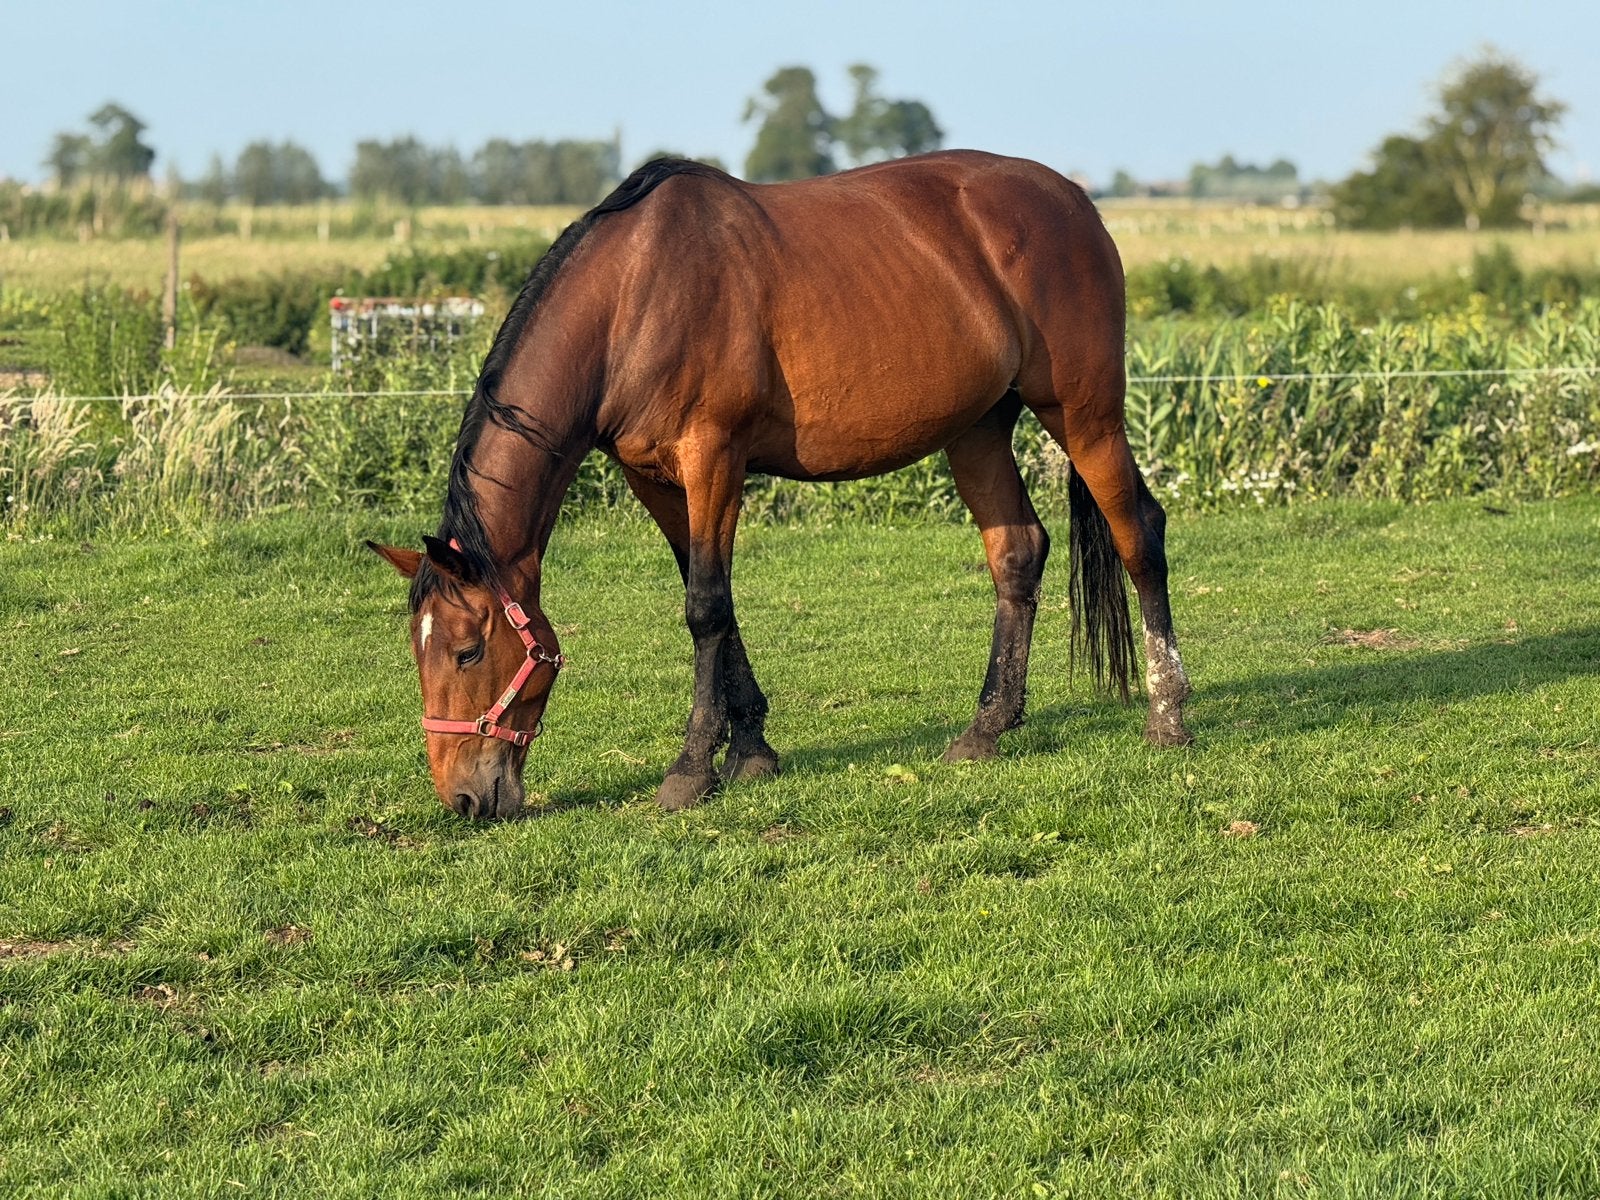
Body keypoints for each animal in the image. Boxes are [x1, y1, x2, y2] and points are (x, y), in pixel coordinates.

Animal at [369, 152, 1192, 820]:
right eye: (416, 652)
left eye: (468, 653)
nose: (463, 798)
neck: (633, 297)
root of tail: (1075, 199)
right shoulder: (654, 480)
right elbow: (717, 603)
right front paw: (750, 752)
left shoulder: (713, 459)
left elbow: (704, 606)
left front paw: (691, 770)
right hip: (980, 429)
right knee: (1018, 553)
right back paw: (986, 728)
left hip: (1084, 412)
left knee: (1138, 534)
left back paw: (1168, 715)